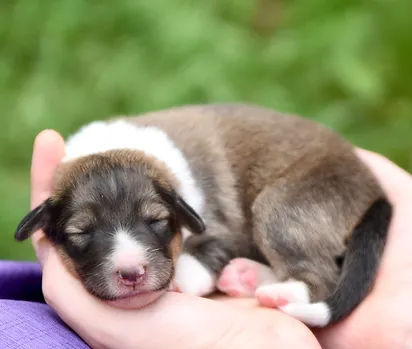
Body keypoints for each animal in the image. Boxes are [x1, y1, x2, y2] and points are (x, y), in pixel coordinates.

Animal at [14, 103, 392, 326]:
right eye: (81, 233)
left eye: (156, 221)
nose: (132, 274)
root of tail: (376, 192)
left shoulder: (219, 224)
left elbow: (207, 253)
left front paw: (181, 276)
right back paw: (246, 277)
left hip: (283, 207)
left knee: (321, 275)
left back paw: (280, 293)